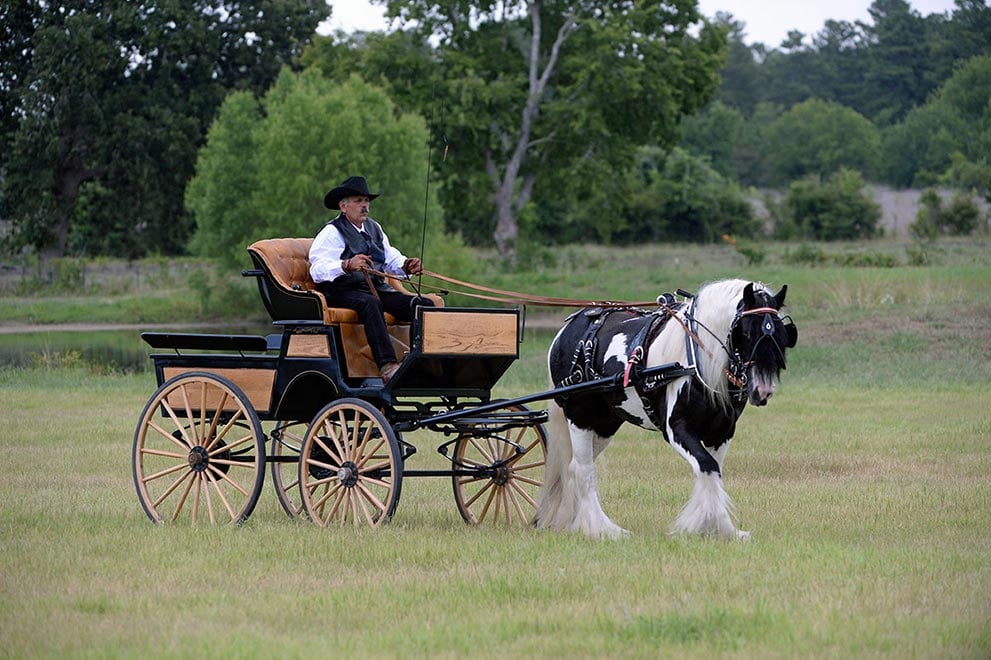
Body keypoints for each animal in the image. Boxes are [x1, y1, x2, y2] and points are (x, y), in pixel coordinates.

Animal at [536, 282, 800, 540]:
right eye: (746, 333)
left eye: (781, 334)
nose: (763, 390)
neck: (694, 361)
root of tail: (568, 329)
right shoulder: (677, 430)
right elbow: (708, 466)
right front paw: (711, 526)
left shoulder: (722, 432)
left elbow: (712, 472)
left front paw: (716, 528)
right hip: (580, 417)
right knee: (583, 470)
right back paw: (601, 529)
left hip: (604, 424)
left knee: (573, 467)